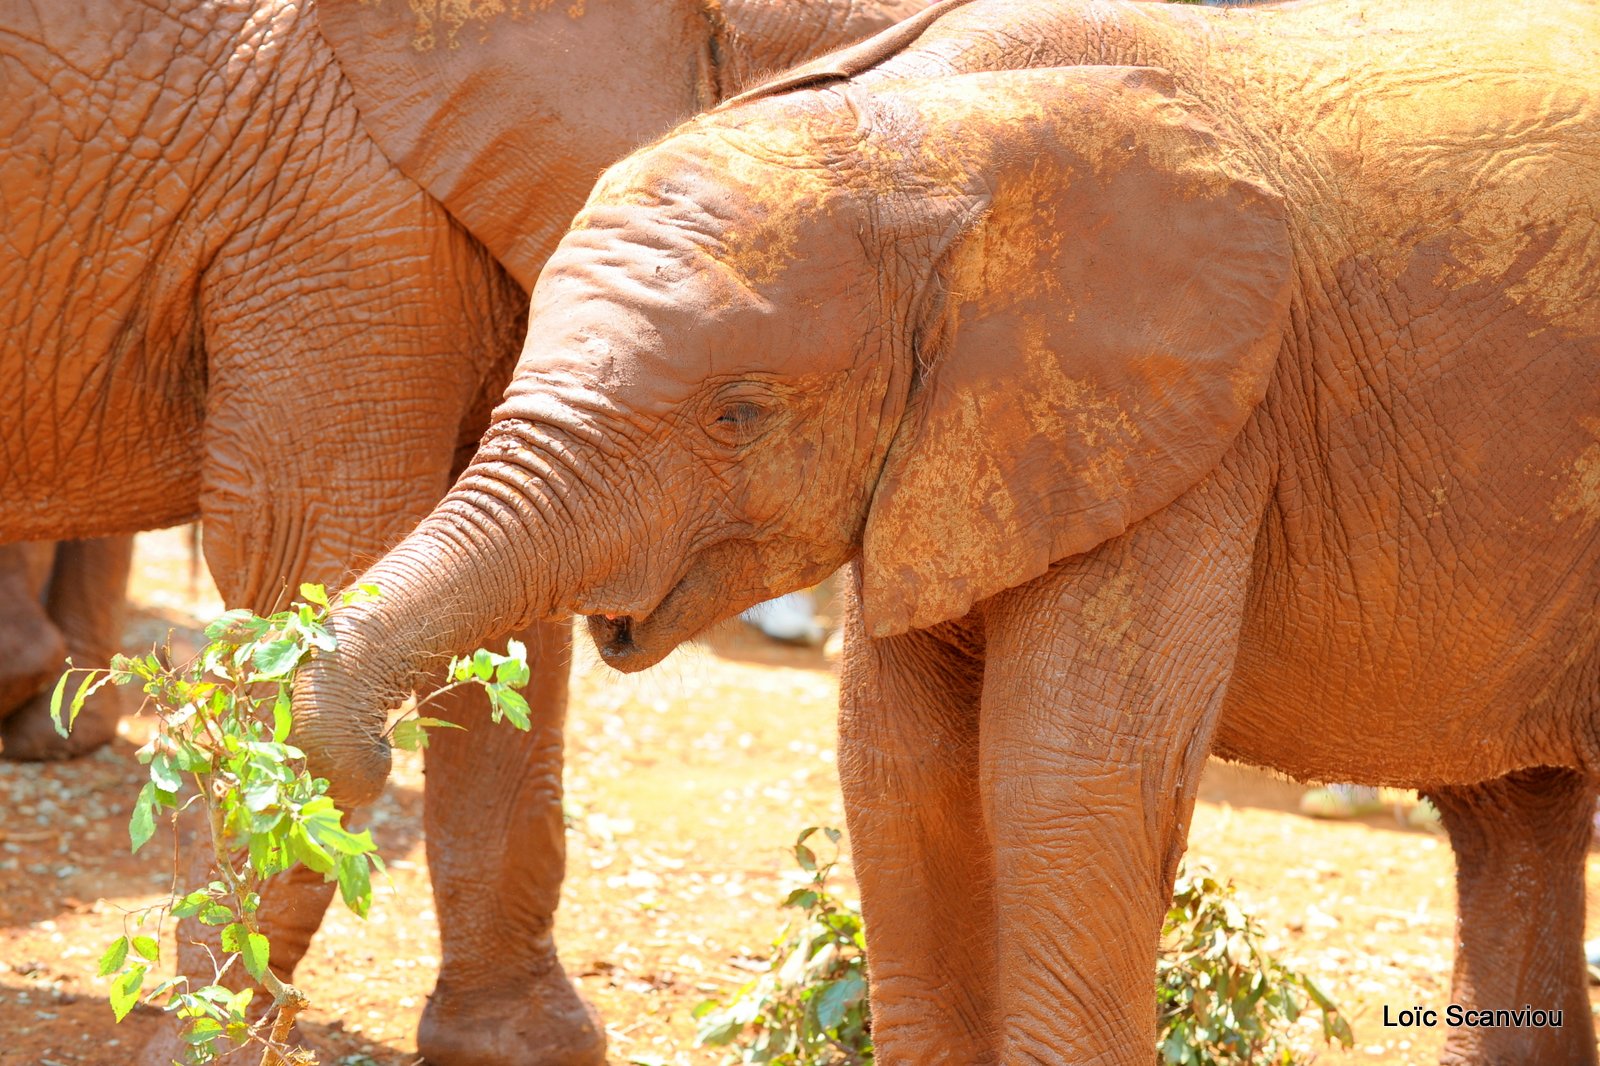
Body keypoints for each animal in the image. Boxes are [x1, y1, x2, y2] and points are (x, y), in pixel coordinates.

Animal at [0, 4, 934, 1056]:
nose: (374, 756)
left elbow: (506, 620)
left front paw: (526, 1052)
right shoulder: (340, 217)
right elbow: (315, 561)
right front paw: (213, 1041)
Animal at [297, 0, 1600, 1056]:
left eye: (737, 413)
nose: (351, 766)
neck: (920, 131)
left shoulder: (1196, 419)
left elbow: (1064, 781)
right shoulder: (961, 446)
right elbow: (900, 771)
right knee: (1512, 827)